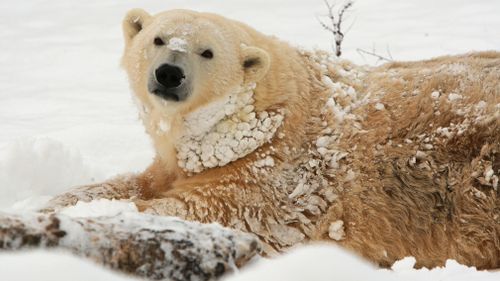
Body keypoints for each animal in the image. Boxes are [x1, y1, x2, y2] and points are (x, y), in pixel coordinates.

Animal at [44, 7, 500, 268]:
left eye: (207, 52)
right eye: (157, 38)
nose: (169, 73)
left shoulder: (273, 182)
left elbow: (199, 210)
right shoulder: (179, 163)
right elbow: (137, 180)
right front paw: (60, 200)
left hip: (478, 177)